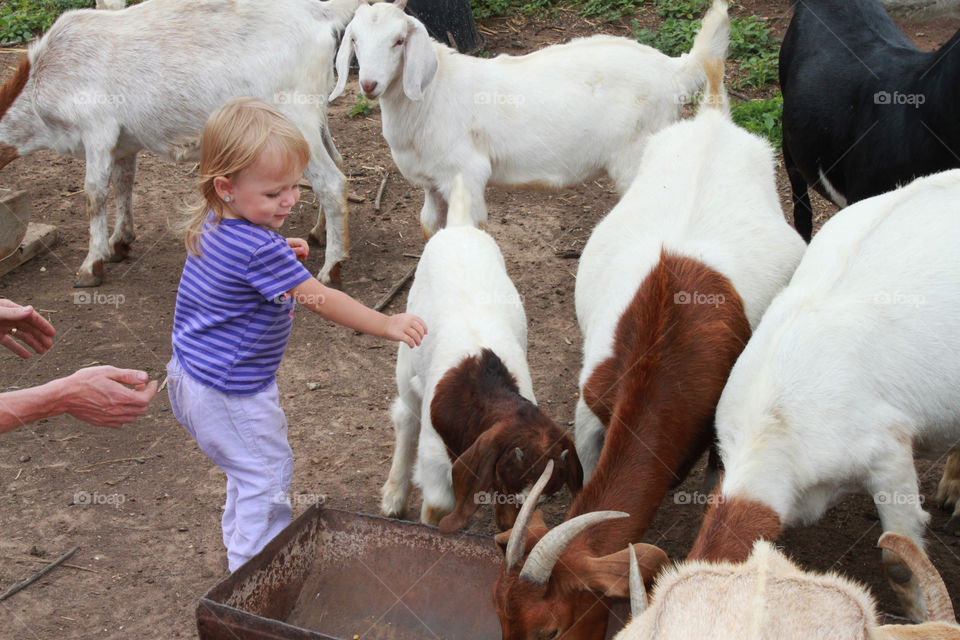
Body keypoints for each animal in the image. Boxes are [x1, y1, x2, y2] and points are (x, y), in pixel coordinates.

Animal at [330, 0, 728, 236]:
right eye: (356, 40)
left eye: (399, 40)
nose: (369, 84)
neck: (429, 97)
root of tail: (674, 70)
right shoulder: (432, 181)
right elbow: (429, 225)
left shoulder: (467, 174)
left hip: (640, 154)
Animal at [380, 178, 576, 532]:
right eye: (508, 473)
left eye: (546, 496)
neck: (482, 383)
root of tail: (458, 226)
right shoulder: (434, 453)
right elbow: (439, 503)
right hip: (406, 354)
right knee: (405, 415)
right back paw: (393, 496)